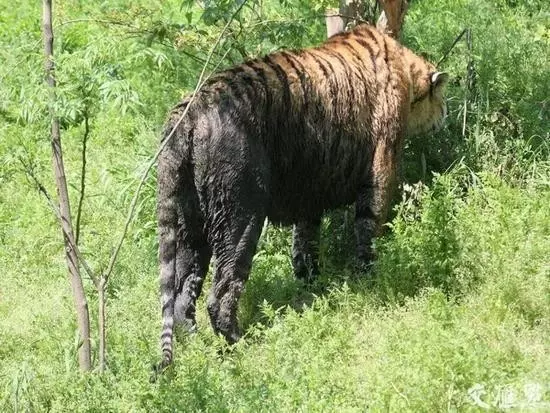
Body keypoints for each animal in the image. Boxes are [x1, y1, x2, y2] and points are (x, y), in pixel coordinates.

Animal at [157, 22, 450, 366]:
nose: (444, 114)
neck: (406, 69)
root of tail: (186, 116)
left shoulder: (309, 194)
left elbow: (305, 242)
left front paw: (312, 286)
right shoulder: (382, 166)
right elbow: (369, 226)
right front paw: (369, 276)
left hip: (190, 224)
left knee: (181, 295)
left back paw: (198, 348)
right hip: (238, 216)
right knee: (221, 291)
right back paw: (238, 345)